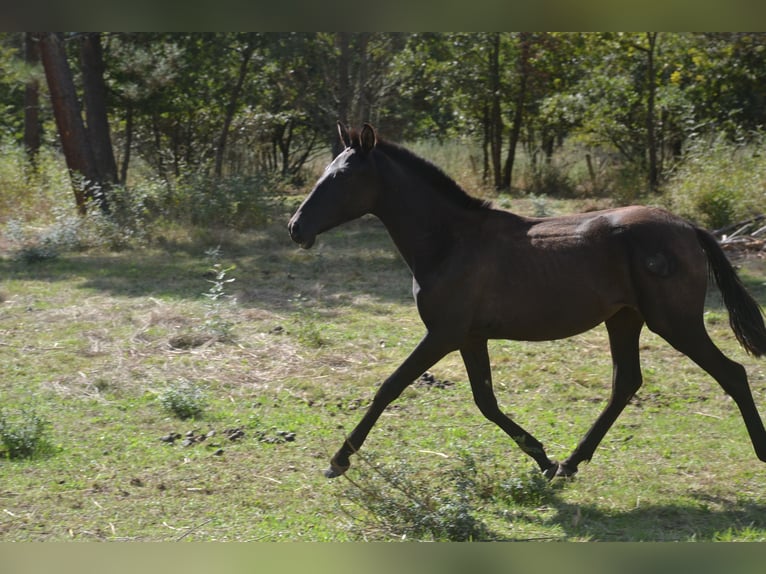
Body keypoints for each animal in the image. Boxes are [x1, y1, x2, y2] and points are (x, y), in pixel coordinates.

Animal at [286, 125, 766, 482]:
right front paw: (543, 458)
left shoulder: (443, 333)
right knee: (626, 382)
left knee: (732, 373)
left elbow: (390, 386)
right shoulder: (469, 336)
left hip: (675, 321)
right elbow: (486, 401)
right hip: (625, 319)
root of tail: (688, 227)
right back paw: (570, 463)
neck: (449, 241)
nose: (295, 227)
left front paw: (338, 460)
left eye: (342, 177)